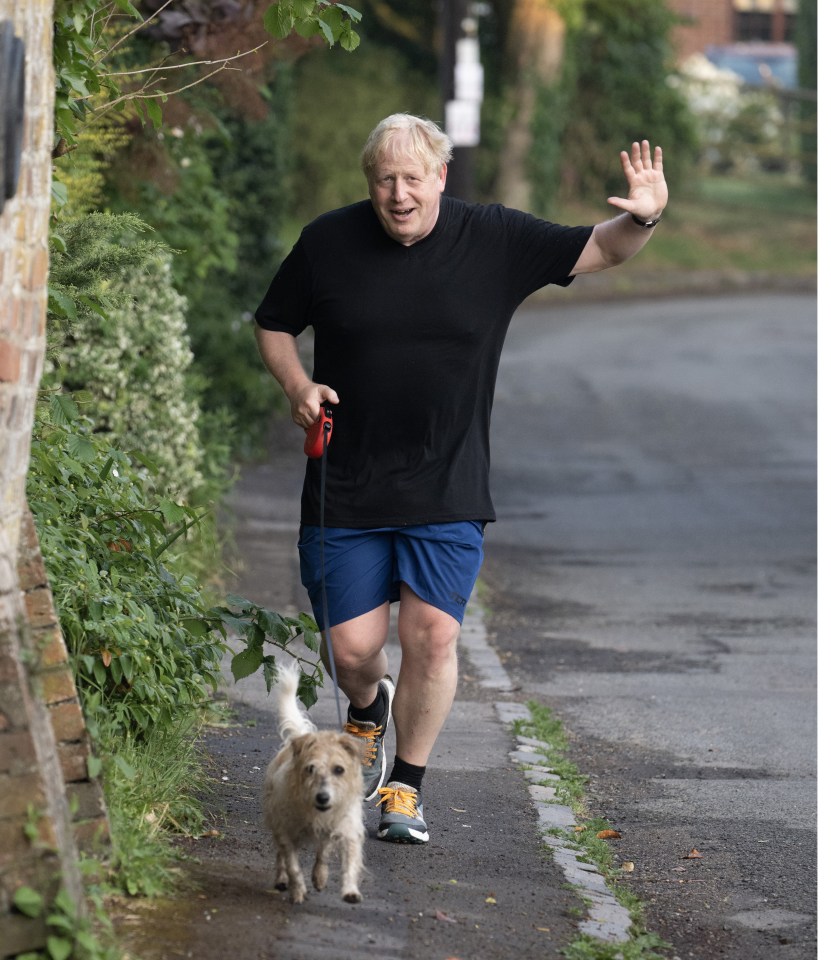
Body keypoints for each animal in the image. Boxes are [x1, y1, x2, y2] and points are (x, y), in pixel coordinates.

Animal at [264, 664, 366, 904]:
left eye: (339, 770)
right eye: (310, 769)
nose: (323, 797)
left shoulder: (347, 829)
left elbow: (346, 860)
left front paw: (350, 890)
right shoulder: (286, 831)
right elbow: (292, 865)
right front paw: (298, 890)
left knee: (322, 851)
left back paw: (319, 876)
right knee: (280, 856)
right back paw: (282, 879)